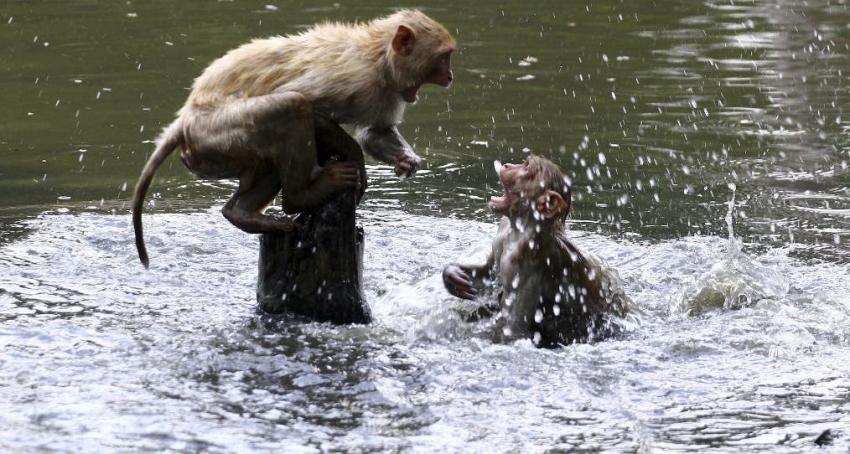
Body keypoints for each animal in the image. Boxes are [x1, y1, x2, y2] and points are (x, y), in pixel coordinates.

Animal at [131, 9, 458, 266]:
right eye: (444, 58)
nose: (451, 76)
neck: (377, 58)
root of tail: (184, 120)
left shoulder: (388, 92)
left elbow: (375, 132)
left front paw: (405, 159)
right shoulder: (355, 77)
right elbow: (311, 106)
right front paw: (355, 156)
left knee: (267, 162)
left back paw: (241, 213)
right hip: (217, 134)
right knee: (292, 108)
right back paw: (301, 196)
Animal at [440, 156, 628, 348]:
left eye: (526, 167)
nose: (507, 165)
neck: (519, 229)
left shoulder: (526, 263)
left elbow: (514, 326)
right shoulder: (501, 234)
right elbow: (487, 274)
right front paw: (454, 276)